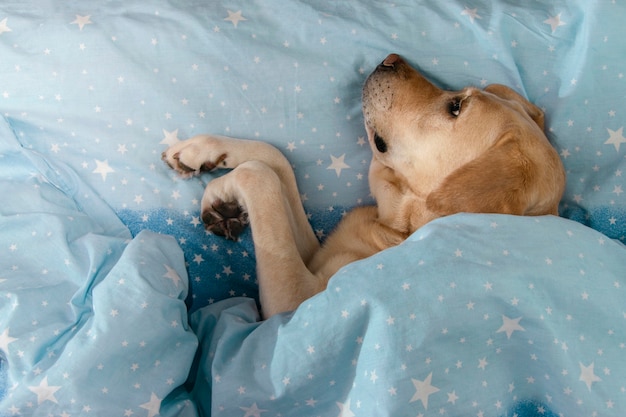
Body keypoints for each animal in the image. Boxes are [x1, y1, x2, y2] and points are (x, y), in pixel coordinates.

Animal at [162, 53, 564, 316]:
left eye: (455, 107)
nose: (390, 57)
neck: (395, 229)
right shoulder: (313, 258)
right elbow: (276, 161)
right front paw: (203, 157)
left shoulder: (293, 303)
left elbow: (260, 178)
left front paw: (224, 188)